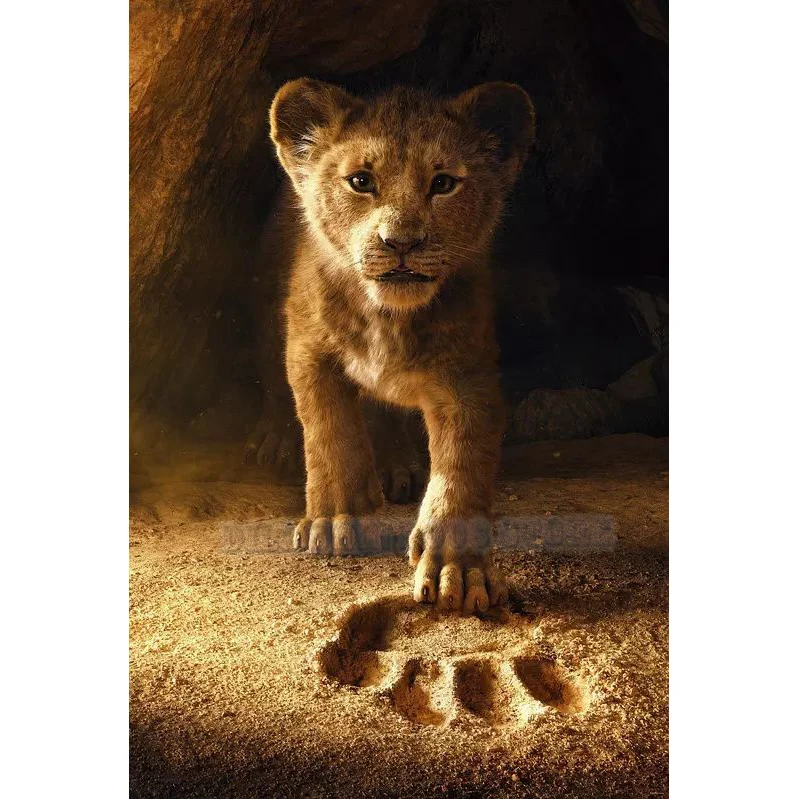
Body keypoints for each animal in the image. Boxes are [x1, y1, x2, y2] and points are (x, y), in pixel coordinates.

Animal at [267, 78, 535, 614]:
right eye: (360, 181)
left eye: (444, 183)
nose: (401, 242)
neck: (387, 316)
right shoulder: (308, 349)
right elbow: (330, 433)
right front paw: (335, 520)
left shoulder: (467, 375)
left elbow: (462, 465)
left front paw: (460, 568)